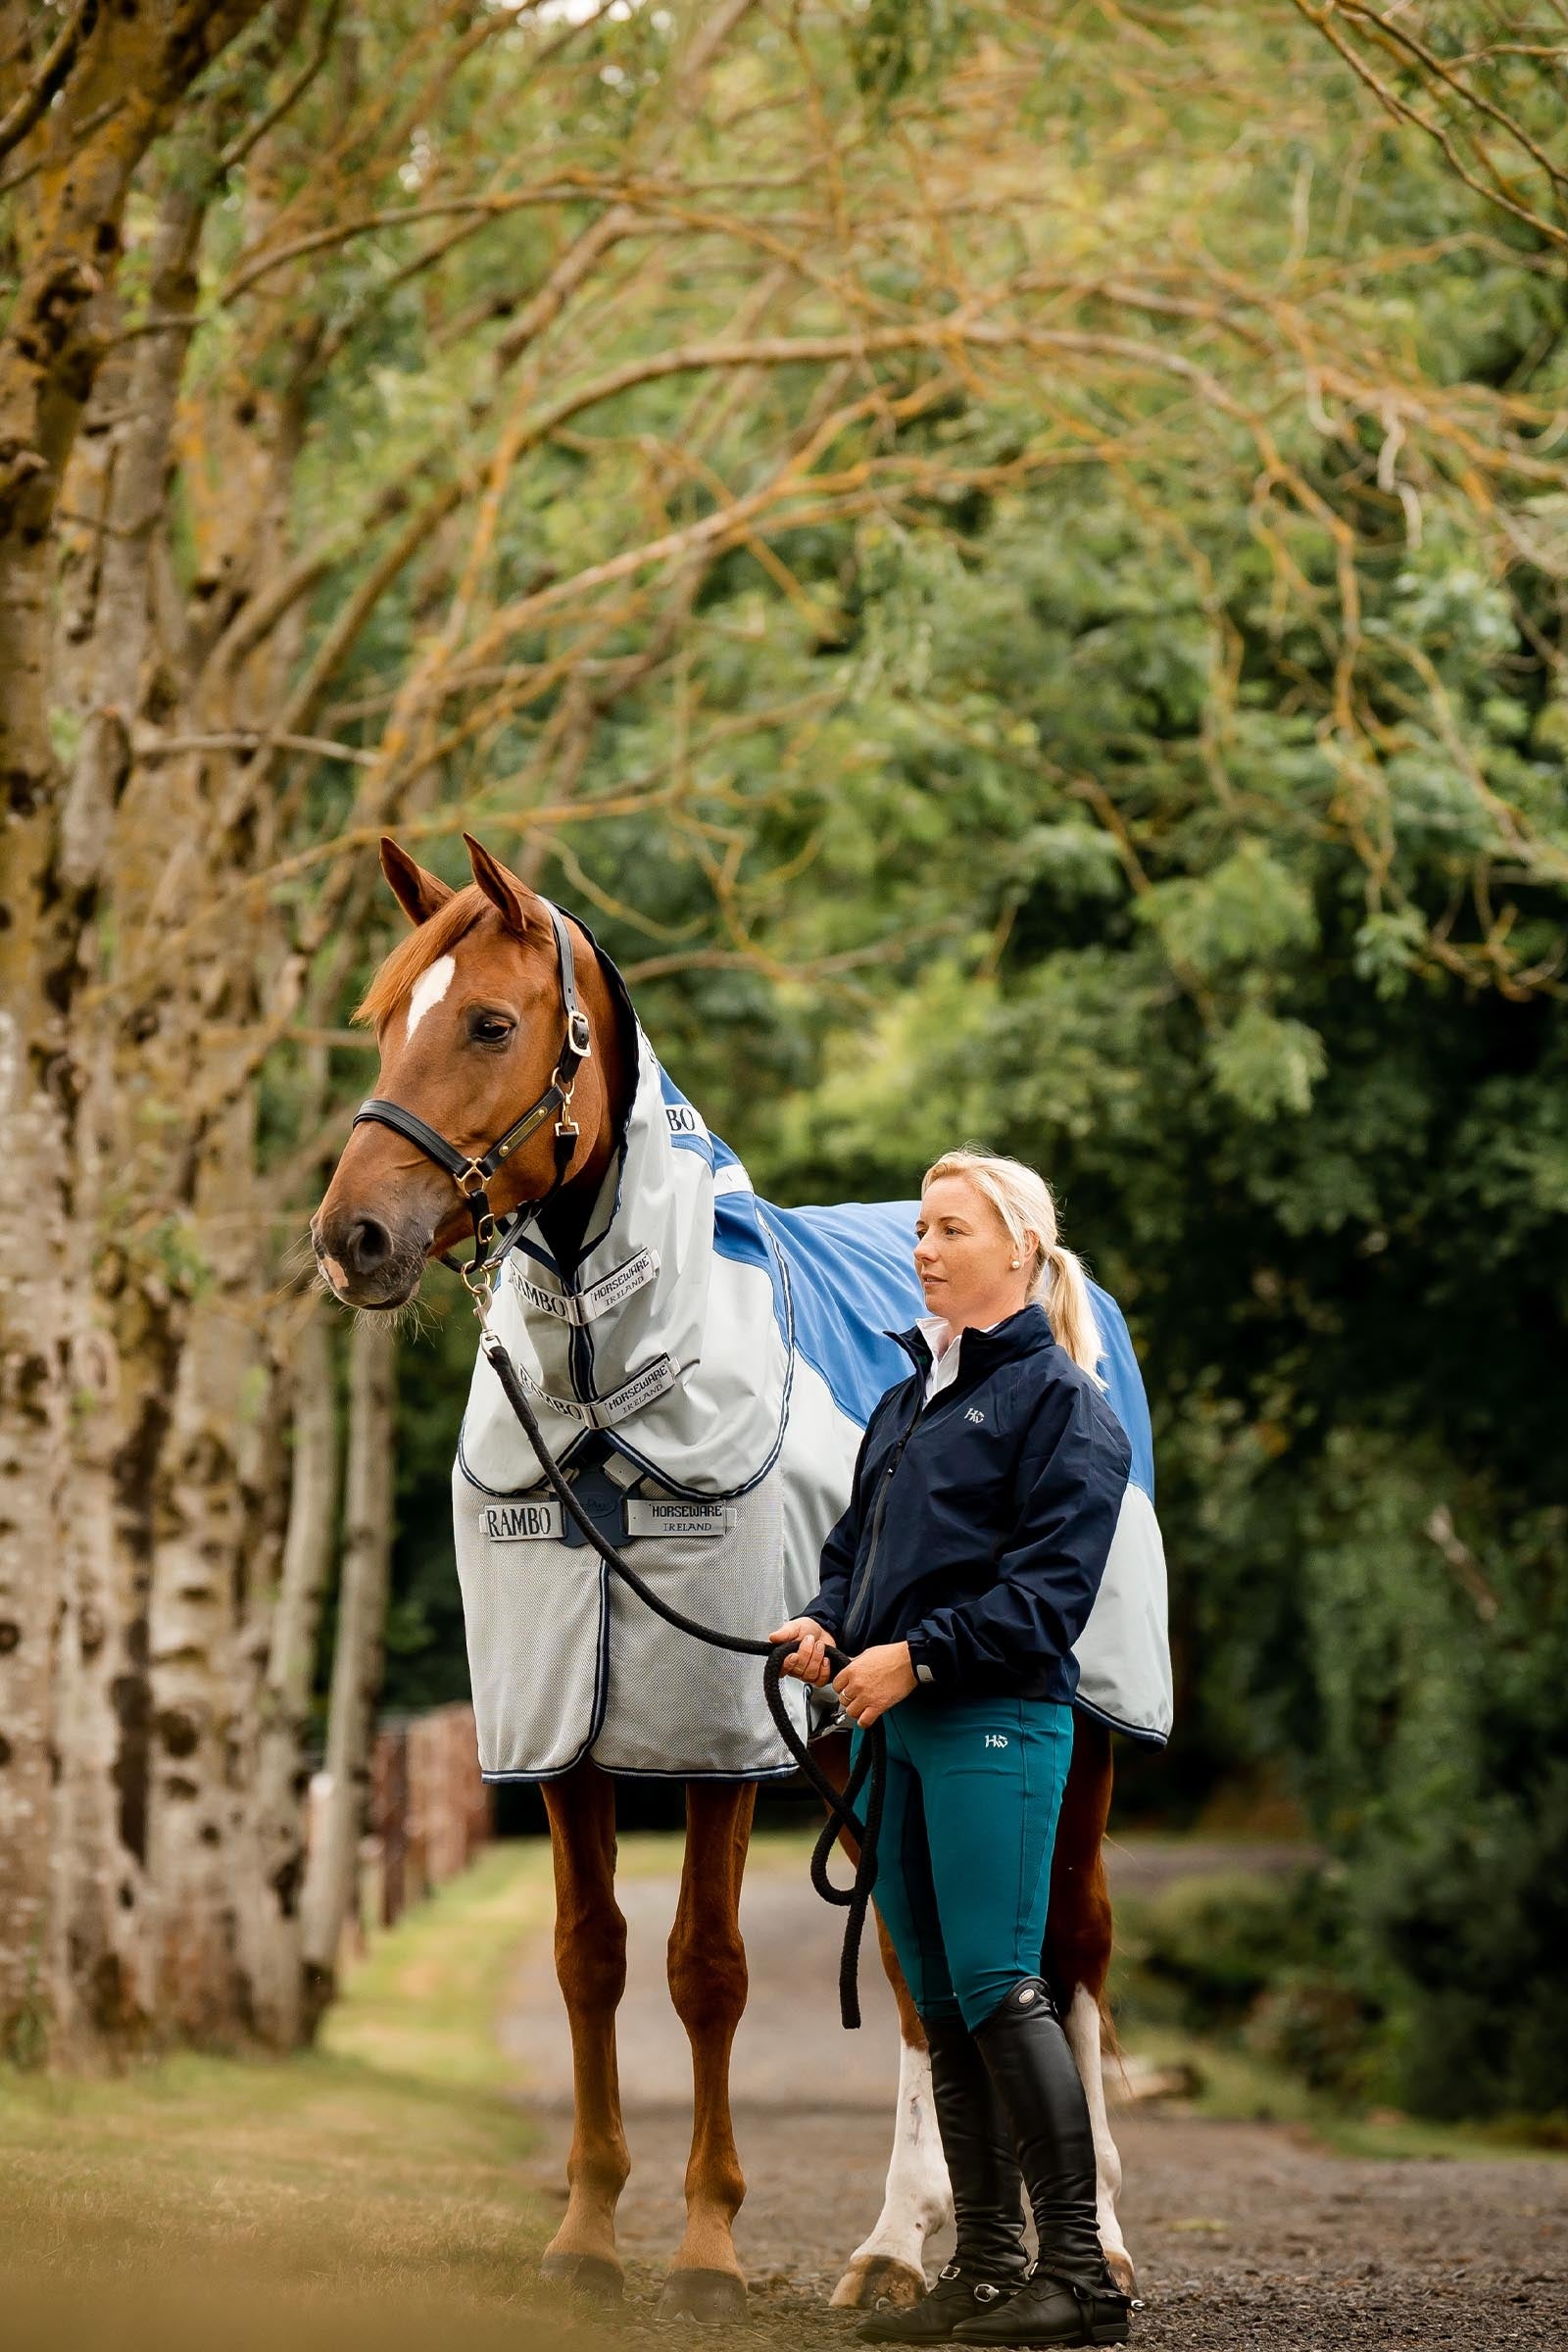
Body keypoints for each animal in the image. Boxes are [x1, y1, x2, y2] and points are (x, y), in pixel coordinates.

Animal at [311, 833, 1168, 2319]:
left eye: (488, 1024)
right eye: (379, 1022)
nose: (352, 1237)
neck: (610, 1385)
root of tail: (1079, 1301)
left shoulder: (720, 1726)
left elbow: (704, 1969)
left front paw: (707, 2247)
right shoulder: (566, 1728)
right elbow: (589, 1957)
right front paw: (587, 2234)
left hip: (1085, 1733)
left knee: (1069, 1951)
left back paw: (1095, 2240)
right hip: (862, 1739)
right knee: (913, 1963)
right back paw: (896, 2246)